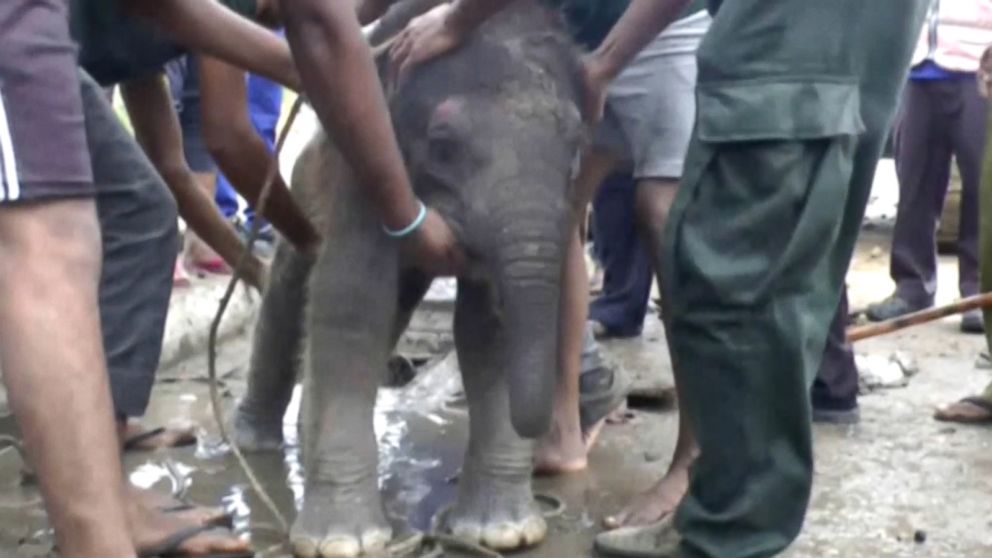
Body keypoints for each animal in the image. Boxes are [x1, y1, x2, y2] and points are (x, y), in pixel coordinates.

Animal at [236, 2, 584, 556]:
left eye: (575, 152)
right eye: (442, 147)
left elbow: (487, 328)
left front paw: (503, 533)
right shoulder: (366, 167)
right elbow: (353, 299)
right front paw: (344, 543)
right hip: (304, 181)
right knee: (291, 293)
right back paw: (256, 442)